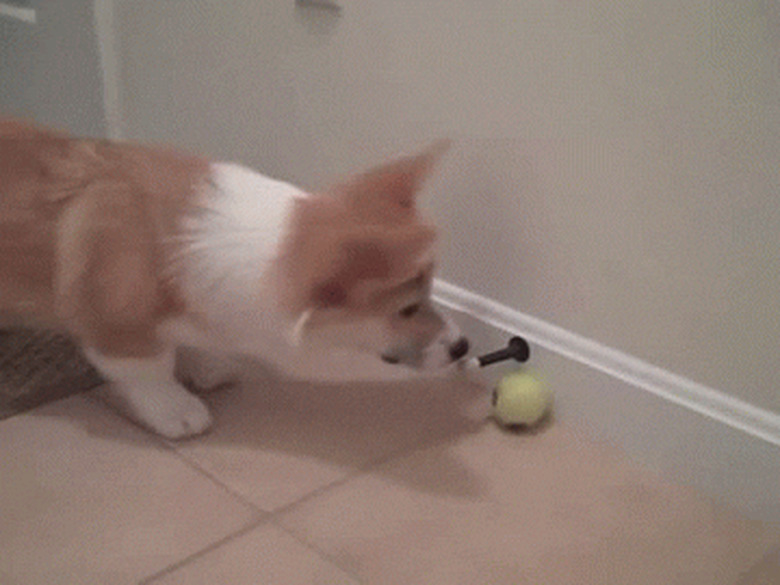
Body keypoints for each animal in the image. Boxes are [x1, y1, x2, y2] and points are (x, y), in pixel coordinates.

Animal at [0, 118, 470, 436]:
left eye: (432, 288)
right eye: (406, 309)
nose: (464, 346)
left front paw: (207, 364)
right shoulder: (117, 328)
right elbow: (150, 370)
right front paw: (178, 411)